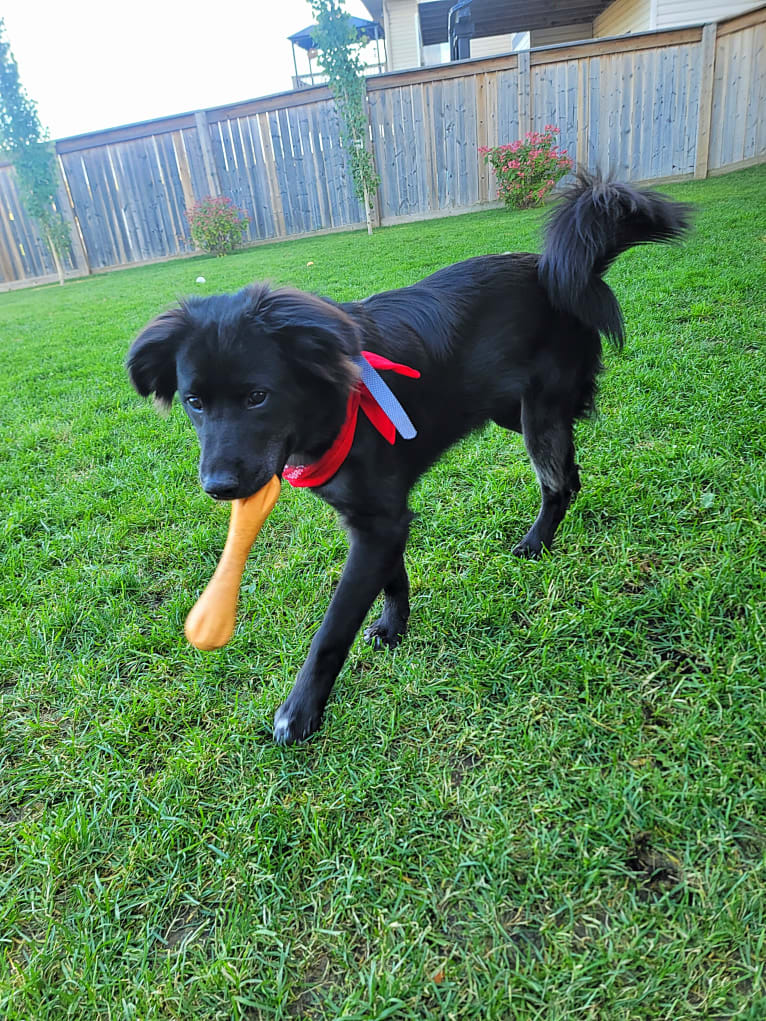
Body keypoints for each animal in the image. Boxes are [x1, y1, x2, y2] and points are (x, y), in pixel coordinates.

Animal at [129, 173, 694, 743]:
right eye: (194, 402)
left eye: (257, 397)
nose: (218, 488)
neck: (335, 402)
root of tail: (559, 271)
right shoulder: (378, 518)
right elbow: (393, 578)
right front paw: (393, 628)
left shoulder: (378, 522)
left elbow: (333, 628)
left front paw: (301, 710)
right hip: (511, 412)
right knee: (571, 474)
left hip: (539, 413)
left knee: (555, 483)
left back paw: (536, 542)